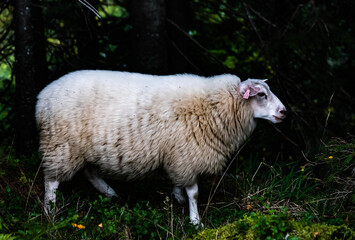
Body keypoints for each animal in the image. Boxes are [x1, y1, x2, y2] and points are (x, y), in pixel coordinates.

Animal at [36, 69, 286, 225]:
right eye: (261, 94)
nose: (284, 112)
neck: (213, 105)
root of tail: (42, 96)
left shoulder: (178, 154)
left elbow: (179, 183)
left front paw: (178, 198)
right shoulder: (187, 153)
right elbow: (194, 192)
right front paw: (195, 221)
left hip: (83, 147)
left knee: (89, 171)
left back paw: (110, 194)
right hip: (61, 144)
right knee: (52, 181)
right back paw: (50, 212)